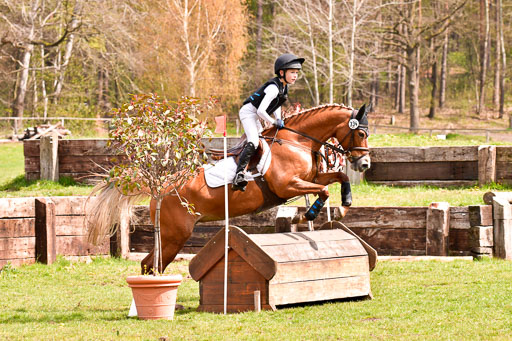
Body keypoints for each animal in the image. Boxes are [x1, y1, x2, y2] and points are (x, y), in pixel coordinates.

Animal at [86, 102, 370, 272]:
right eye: (361, 133)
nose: (364, 163)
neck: (296, 141)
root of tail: (161, 187)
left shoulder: (311, 178)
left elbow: (338, 179)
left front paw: (344, 206)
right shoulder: (287, 186)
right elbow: (323, 191)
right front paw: (308, 214)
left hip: (169, 235)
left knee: (149, 263)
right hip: (174, 235)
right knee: (154, 264)